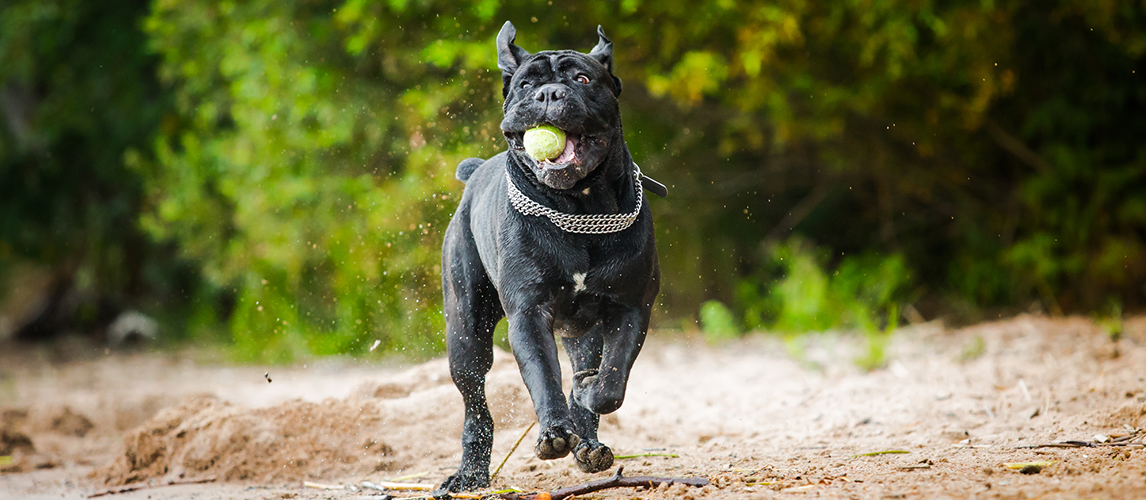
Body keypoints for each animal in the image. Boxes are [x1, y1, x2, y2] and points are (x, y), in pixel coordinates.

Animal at [440, 22, 664, 493]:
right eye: (526, 85)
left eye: (582, 78)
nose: (548, 94)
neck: (579, 208)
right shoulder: (529, 312)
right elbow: (544, 376)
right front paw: (554, 432)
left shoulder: (630, 307)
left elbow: (611, 381)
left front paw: (587, 397)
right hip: (466, 336)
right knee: (475, 405)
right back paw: (471, 473)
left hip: (583, 333)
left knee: (586, 370)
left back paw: (589, 444)